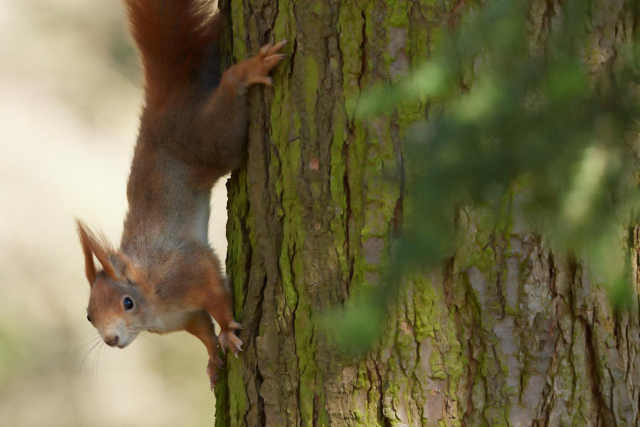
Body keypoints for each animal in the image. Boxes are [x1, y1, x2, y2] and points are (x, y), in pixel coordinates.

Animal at [76, 0, 285, 389]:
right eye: (89, 315)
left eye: (127, 303)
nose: (111, 339)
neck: (153, 306)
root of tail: (159, 107)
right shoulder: (184, 316)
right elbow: (202, 329)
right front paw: (212, 358)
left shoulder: (186, 271)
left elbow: (215, 291)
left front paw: (228, 331)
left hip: (208, 140)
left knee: (226, 106)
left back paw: (248, 70)